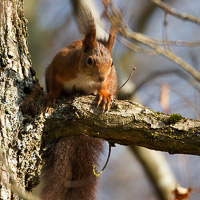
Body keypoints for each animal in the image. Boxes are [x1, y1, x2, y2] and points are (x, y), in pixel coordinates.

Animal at [39, 8, 116, 200]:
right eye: (89, 61)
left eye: (112, 63)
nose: (101, 77)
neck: (85, 78)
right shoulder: (59, 64)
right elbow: (53, 80)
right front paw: (52, 97)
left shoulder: (109, 77)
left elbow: (106, 86)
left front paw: (104, 94)